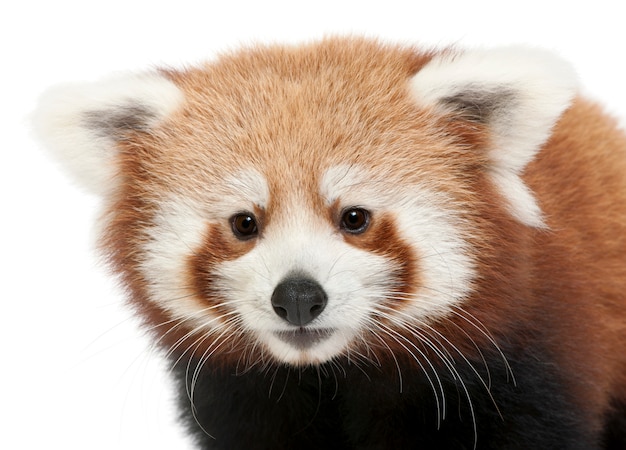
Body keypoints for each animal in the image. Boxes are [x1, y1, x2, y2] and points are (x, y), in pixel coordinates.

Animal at [33, 38, 624, 450]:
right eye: (244, 223)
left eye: (354, 218)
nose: (298, 297)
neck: (332, 373)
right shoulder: (240, 399)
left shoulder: (523, 368)